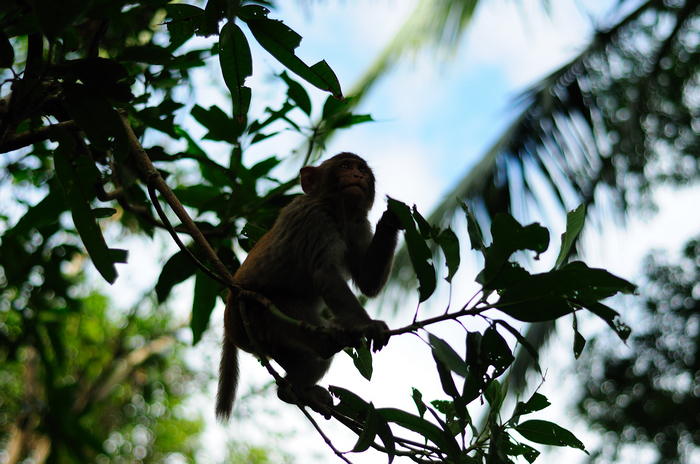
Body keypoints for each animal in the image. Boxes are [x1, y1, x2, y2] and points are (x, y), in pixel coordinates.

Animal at [215, 152, 400, 420]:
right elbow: (325, 274)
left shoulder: (358, 223)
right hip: (255, 313)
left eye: (362, 169)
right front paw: (368, 325)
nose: (358, 175)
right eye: (345, 166)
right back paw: (330, 342)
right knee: (289, 310)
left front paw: (391, 218)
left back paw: (295, 390)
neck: (339, 212)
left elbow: (368, 283)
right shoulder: (315, 218)